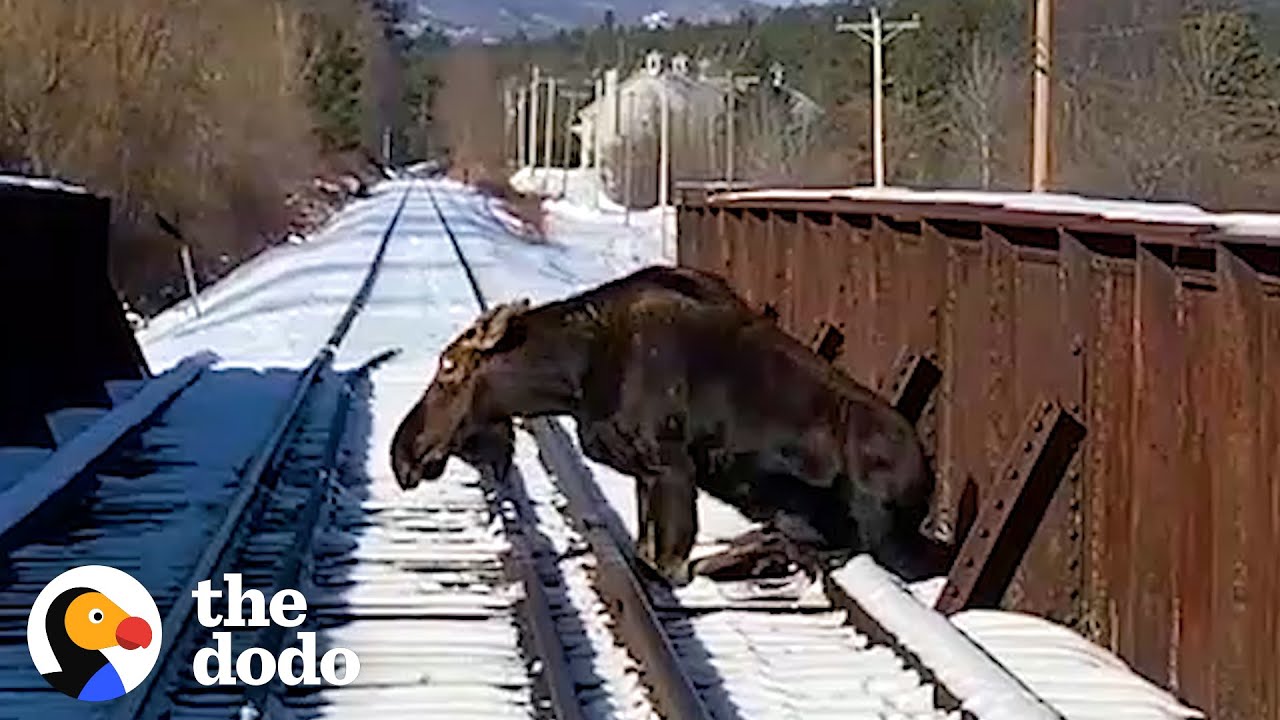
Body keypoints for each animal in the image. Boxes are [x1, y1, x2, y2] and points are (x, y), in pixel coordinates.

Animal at [389, 263, 942, 584]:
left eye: (448, 369)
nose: (403, 453)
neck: (573, 375)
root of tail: (927, 480)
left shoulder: (672, 466)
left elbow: (665, 564)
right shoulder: (646, 472)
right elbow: (648, 548)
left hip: (875, 520)